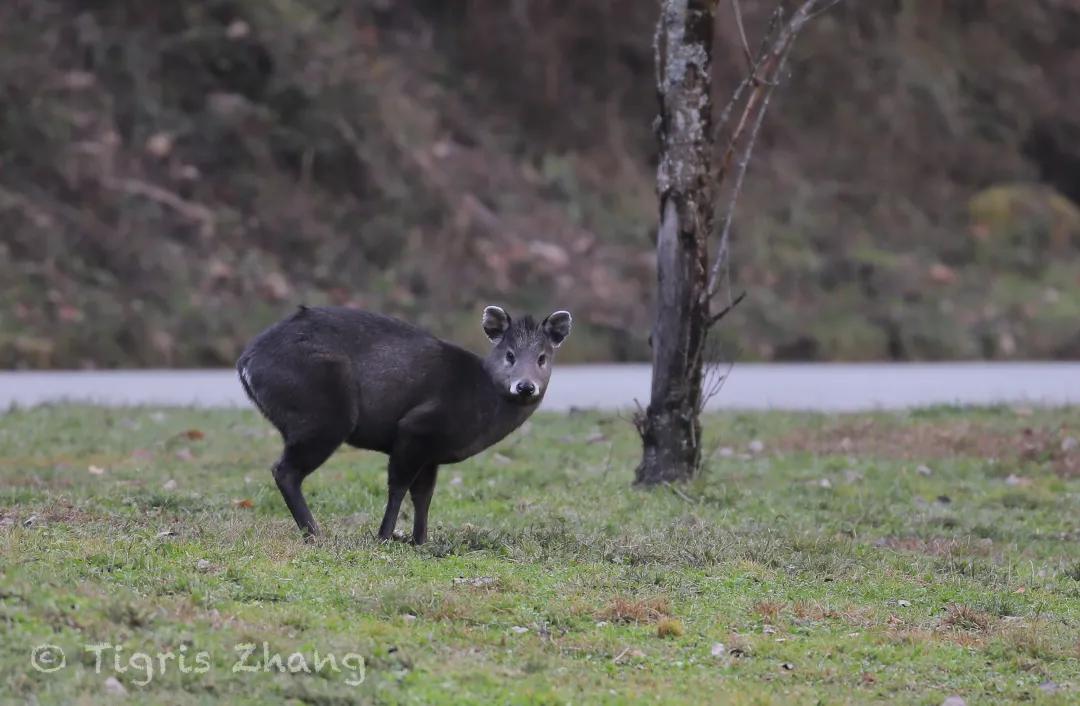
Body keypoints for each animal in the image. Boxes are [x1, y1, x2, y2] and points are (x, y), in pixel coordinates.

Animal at [236, 306, 574, 544]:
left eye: (542, 357)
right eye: (510, 355)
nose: (525, 386)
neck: (482, 398)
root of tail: (246, 362)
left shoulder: (432, 453)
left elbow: (424, 494)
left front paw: (420, 540)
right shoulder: (415, 428)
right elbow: (398, 486)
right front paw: (384, 536)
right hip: (323, 414)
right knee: (285, 470)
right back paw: (316, 534)